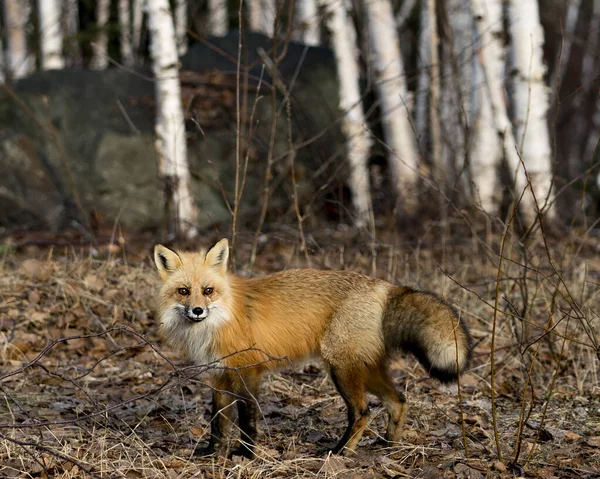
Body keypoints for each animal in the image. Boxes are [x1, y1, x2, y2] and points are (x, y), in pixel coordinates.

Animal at [155, 239, 474, 458]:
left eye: (208, 291)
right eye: (183, 291)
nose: (197, 310)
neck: (219, 320)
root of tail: (385, 286)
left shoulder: (249, 370)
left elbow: (247, 418)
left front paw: (245, 453)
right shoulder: (220, 374)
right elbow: (218, 420)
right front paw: (211, 453)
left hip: (340, 368)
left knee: (362, 412)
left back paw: (340, 451)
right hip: (365, 368)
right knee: (398, 401)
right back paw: (388, 448)